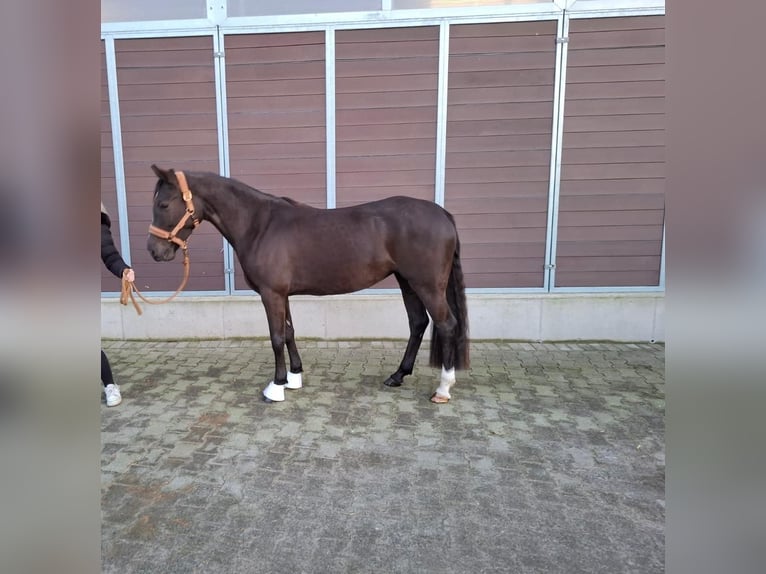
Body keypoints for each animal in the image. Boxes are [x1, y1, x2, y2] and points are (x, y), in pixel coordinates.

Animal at [144, 165, 468, 404]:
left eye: (163, 203)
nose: (154, 251)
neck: (259, 224)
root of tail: (442, 214)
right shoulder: (282, 294)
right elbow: (289, 332)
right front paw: (294, 377)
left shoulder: (271, 294)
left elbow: (276, 337)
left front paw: (276, 387)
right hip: (407, 281)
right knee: (418, 323)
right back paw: (397, 376)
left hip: (427, 285)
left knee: (447, 325)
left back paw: (442, 388)